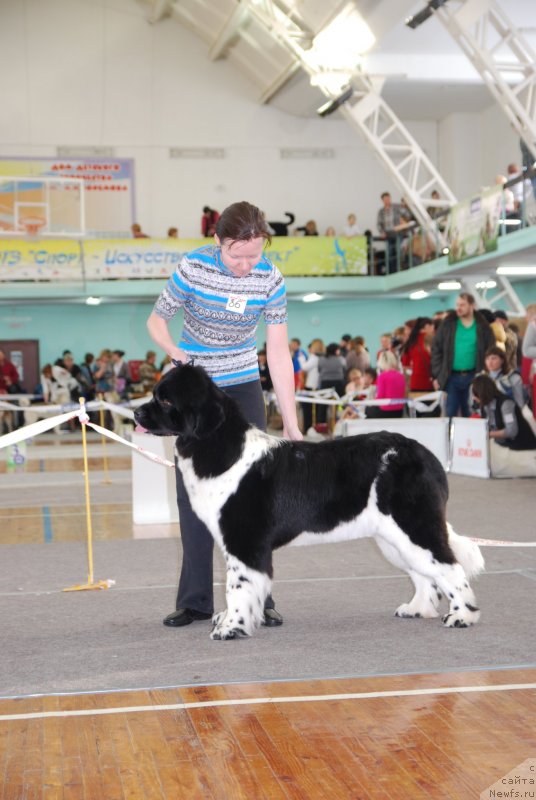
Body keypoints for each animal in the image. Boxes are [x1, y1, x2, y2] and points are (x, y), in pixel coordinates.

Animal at [135, 366, 486, 640]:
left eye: (165, 400)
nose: (137, 412)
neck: (221, 446)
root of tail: (427, 456)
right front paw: (231, 621)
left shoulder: (243, 541)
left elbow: (238, 585)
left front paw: (231, 627)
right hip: (394, 538)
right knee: (425, 574)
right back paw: (416, 609)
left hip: (412, 525)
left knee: (449, 568)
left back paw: (462, 616)